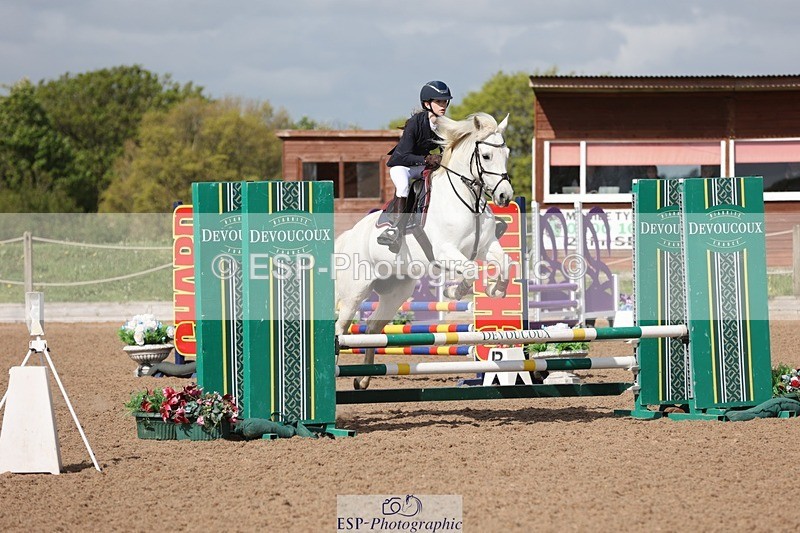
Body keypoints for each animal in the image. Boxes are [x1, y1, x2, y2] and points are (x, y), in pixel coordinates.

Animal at [334, 112, 515, 389]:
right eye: (485, 156)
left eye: (506, 153)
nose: (505, 196)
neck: (466, 200)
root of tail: (349, 235)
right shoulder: (445, 252)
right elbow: (471, 271)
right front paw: (454, 291)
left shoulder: (486, 247)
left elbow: (505, 263)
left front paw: (496, 289)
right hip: (355, 291)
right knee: (341, 327)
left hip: (396, 291)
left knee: (373, 327)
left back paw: (363, 379)